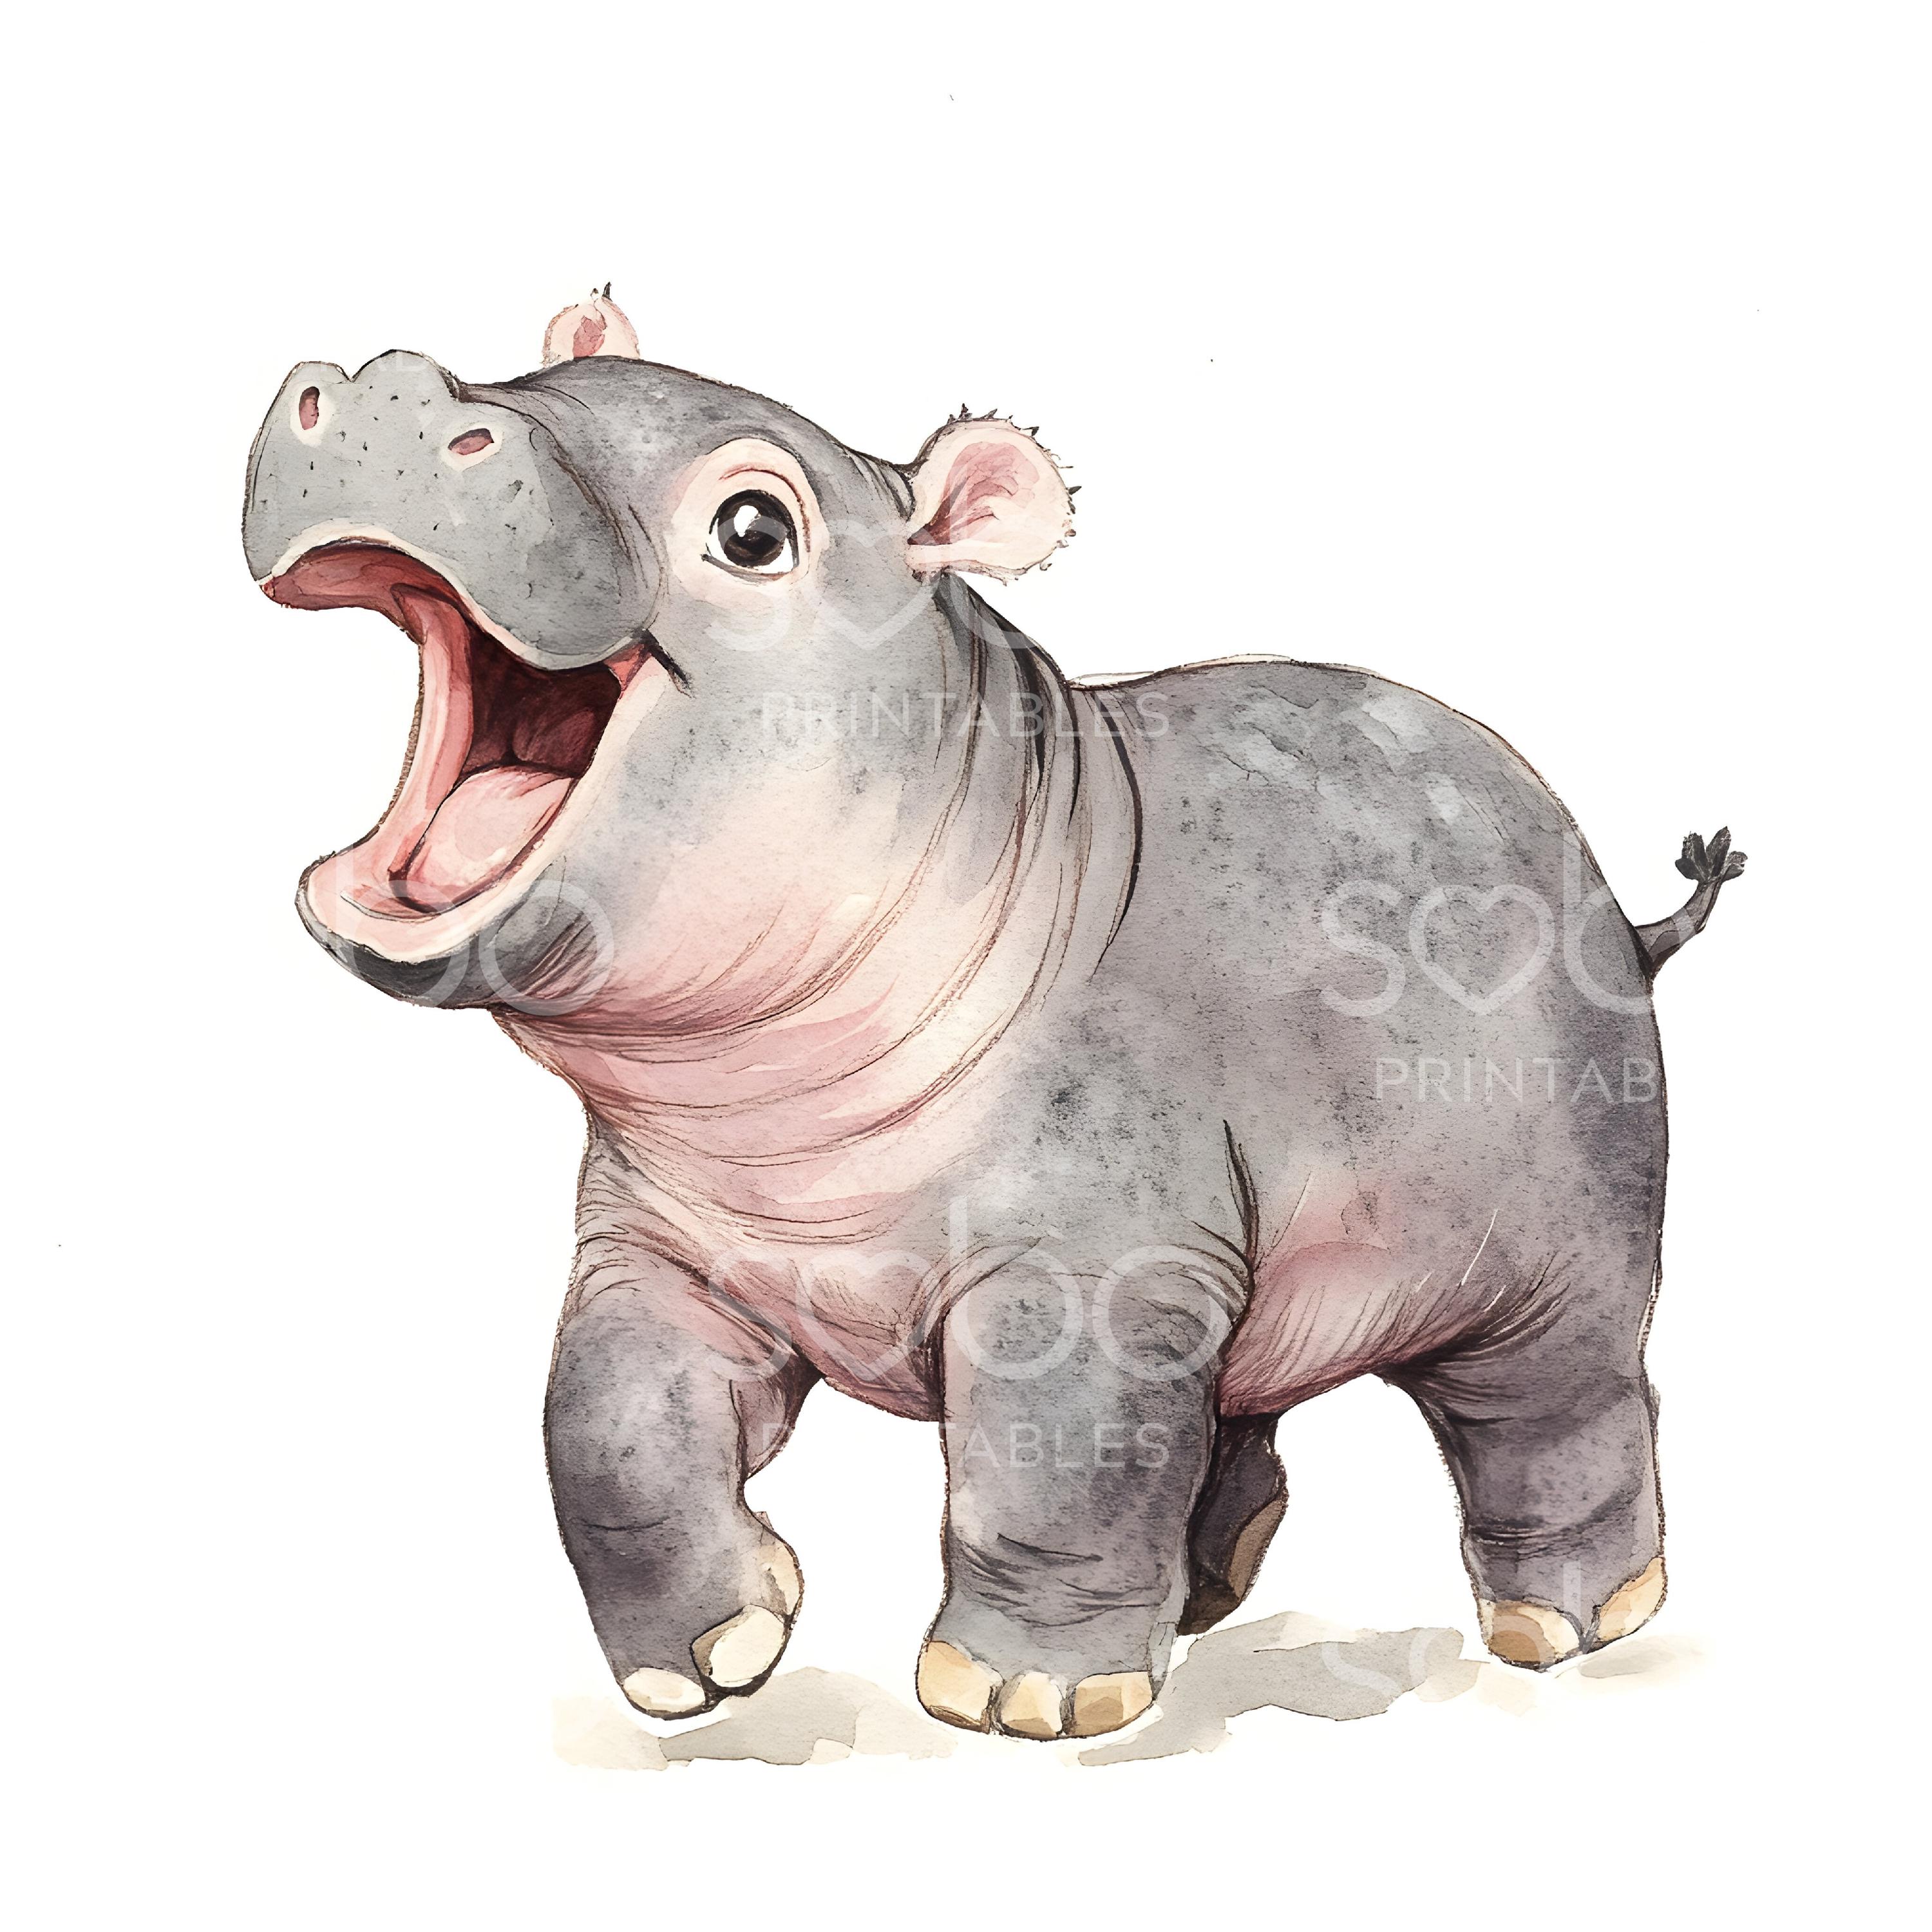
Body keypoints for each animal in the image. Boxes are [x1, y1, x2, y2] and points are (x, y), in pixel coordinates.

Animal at [242, 292, 1744, 1741]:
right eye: (538, 375)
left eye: (752, 528)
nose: (391, 389)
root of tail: (1616, 905)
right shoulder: (655, 1247)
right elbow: (602, 1424)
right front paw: (702, 1662)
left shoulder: (1090, 1271)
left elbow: (1051, 1471)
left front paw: (1026, 1700)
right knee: (1232, 1415)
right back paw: (1201, 1597)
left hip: (1563, 1257)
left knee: (1559, 1411)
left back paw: (1564, 1626)